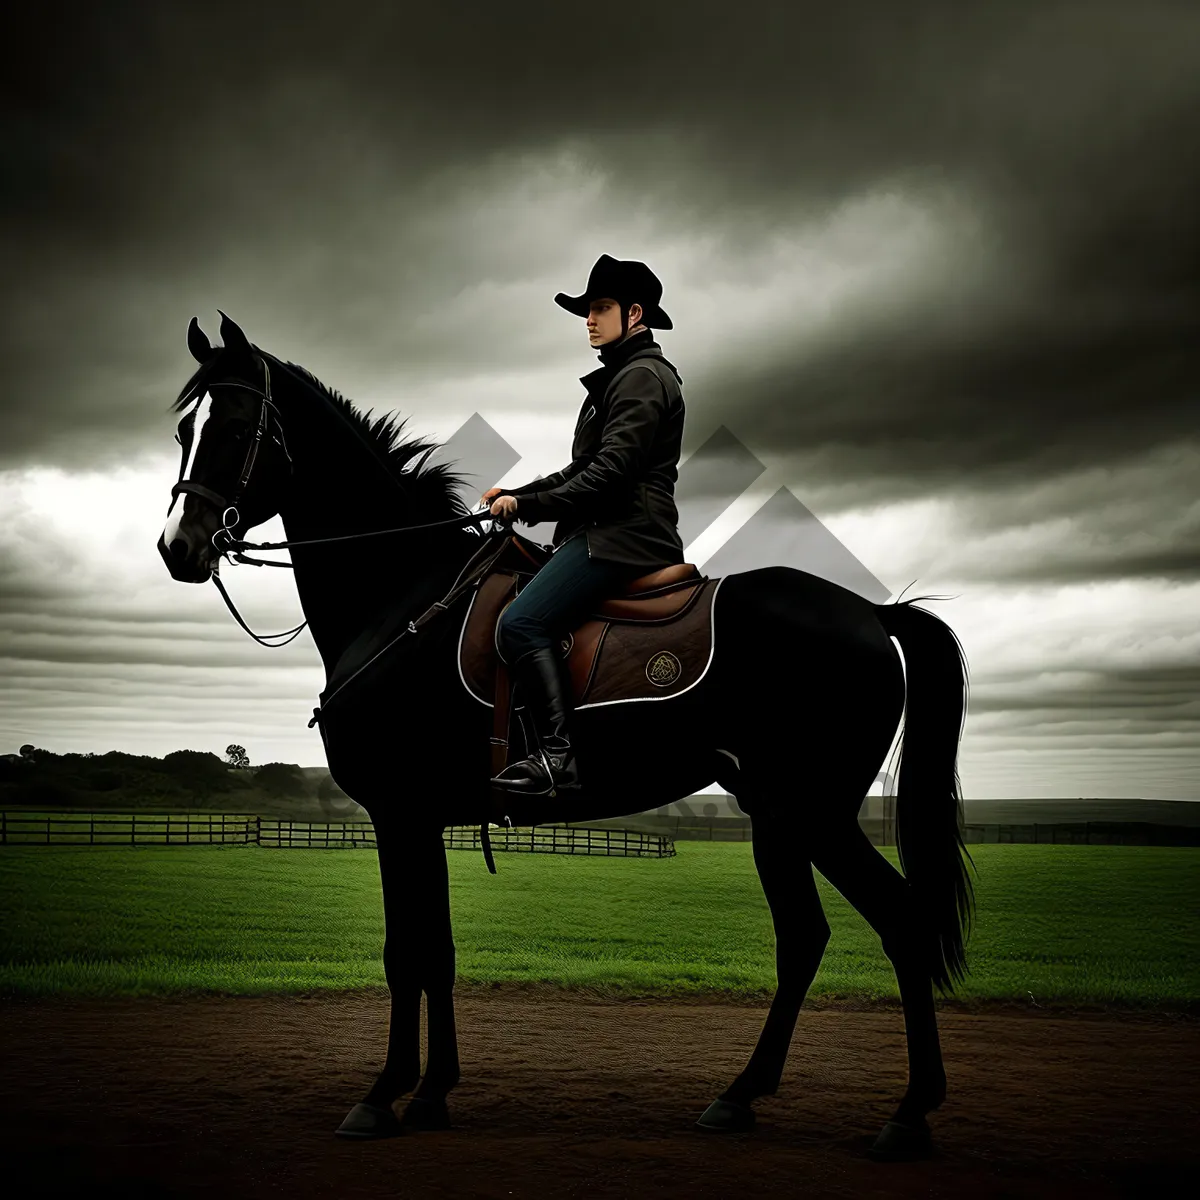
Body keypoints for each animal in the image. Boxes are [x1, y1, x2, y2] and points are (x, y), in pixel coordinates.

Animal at [157, 312, 974, 1161]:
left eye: (236, 428)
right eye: (184, 429)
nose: (178, 547)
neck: (403, 597)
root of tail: (870, 613)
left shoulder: (397, 815)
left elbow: (404, 954)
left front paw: (382, 1096)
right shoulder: (423, 821)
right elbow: (437, 952)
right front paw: (433, 1092)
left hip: (815, 813)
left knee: (901, 923)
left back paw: (909, 1112)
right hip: (777, 817)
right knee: (805, 939)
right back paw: (740, 1097)